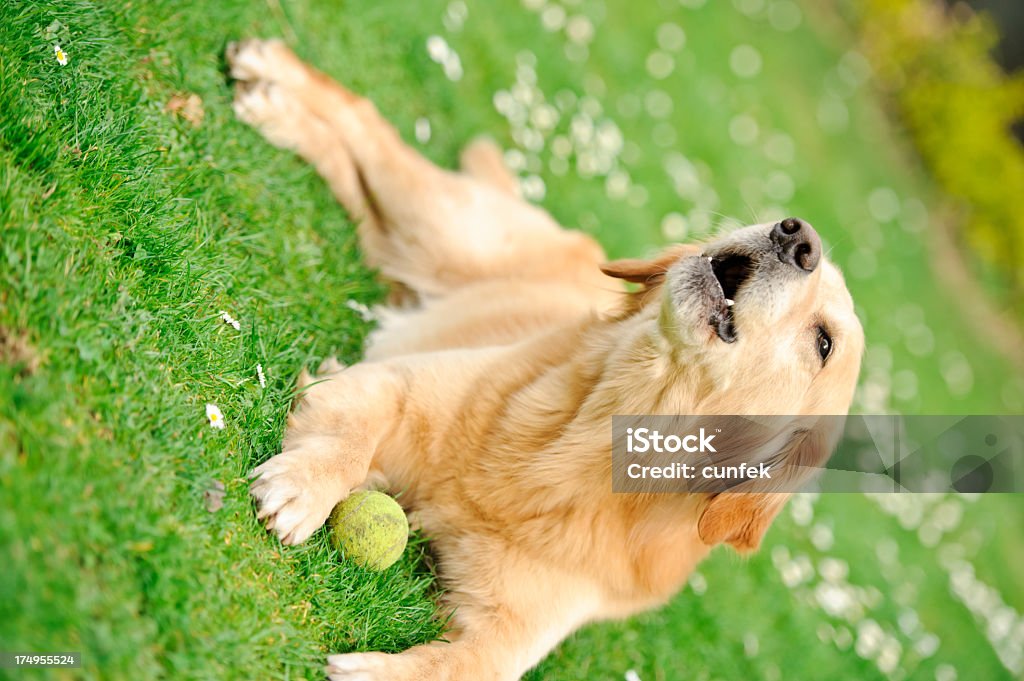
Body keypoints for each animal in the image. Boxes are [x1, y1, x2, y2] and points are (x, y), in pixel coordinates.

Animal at [230, 38, 864, 679]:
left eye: (824, 343)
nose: (797, 235)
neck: (586, 445)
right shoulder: (398, 385)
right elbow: (357, 429)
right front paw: (306, 485)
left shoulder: (515, 630)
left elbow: (474, 664)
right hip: (446, 228)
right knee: (365, 123)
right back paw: (273, 77)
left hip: (413, 247)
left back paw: (274, 106)